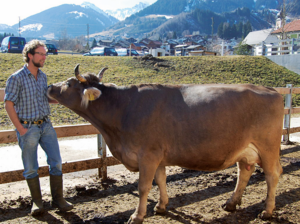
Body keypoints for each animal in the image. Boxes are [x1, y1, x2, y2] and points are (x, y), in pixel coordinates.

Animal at [47, 64, 284, 223]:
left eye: (68, 83)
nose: (49, 86)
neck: (122, 110)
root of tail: (271, 90)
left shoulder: (147, 155)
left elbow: (143, 187)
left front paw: (137, 215)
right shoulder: (158, 155)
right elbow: (160, 180)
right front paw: (161, 207)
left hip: (268, 147)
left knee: (272, 175)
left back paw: (267, 211)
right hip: (245, 150)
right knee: (244, 172)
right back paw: (231, 203)